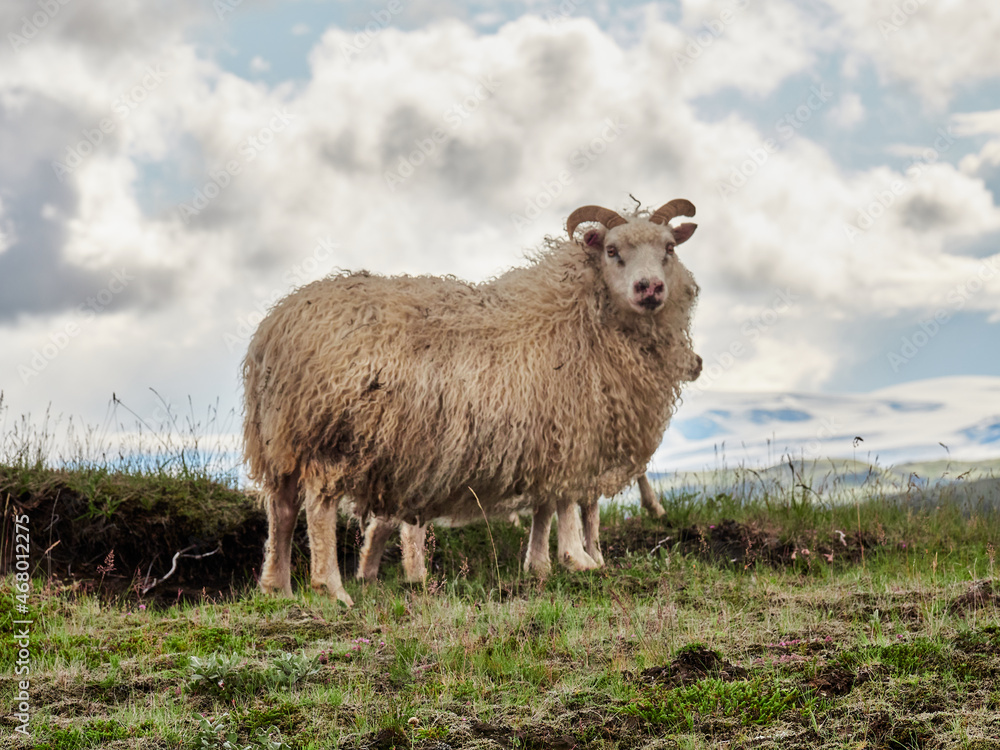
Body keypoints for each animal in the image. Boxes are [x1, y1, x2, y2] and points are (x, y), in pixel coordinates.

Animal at [239, 198, 700, 604]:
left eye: (669, 248)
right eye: (611, 250)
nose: (650, 288)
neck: (578, 312)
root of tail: (276, 330)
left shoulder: (545, 435)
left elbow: (544, 507)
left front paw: (539, 566)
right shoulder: (570, 429)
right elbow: (565, 503)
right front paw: (578, 559)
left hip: (283, 435)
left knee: (281, 508)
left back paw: (277, 588)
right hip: (336, 435)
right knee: (318, 507)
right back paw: (332, 589)